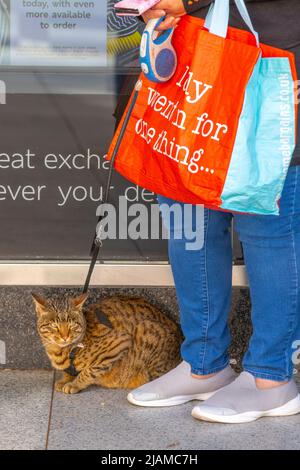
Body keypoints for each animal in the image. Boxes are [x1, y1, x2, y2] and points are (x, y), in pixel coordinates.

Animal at [32, 294, 183, 392]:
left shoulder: (119, 343)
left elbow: (88, 371)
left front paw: (74, 384)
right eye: (54, 325)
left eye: (72, 325)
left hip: (147, 331)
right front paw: (66, 379)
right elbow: (70, 372)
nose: (65, 337)